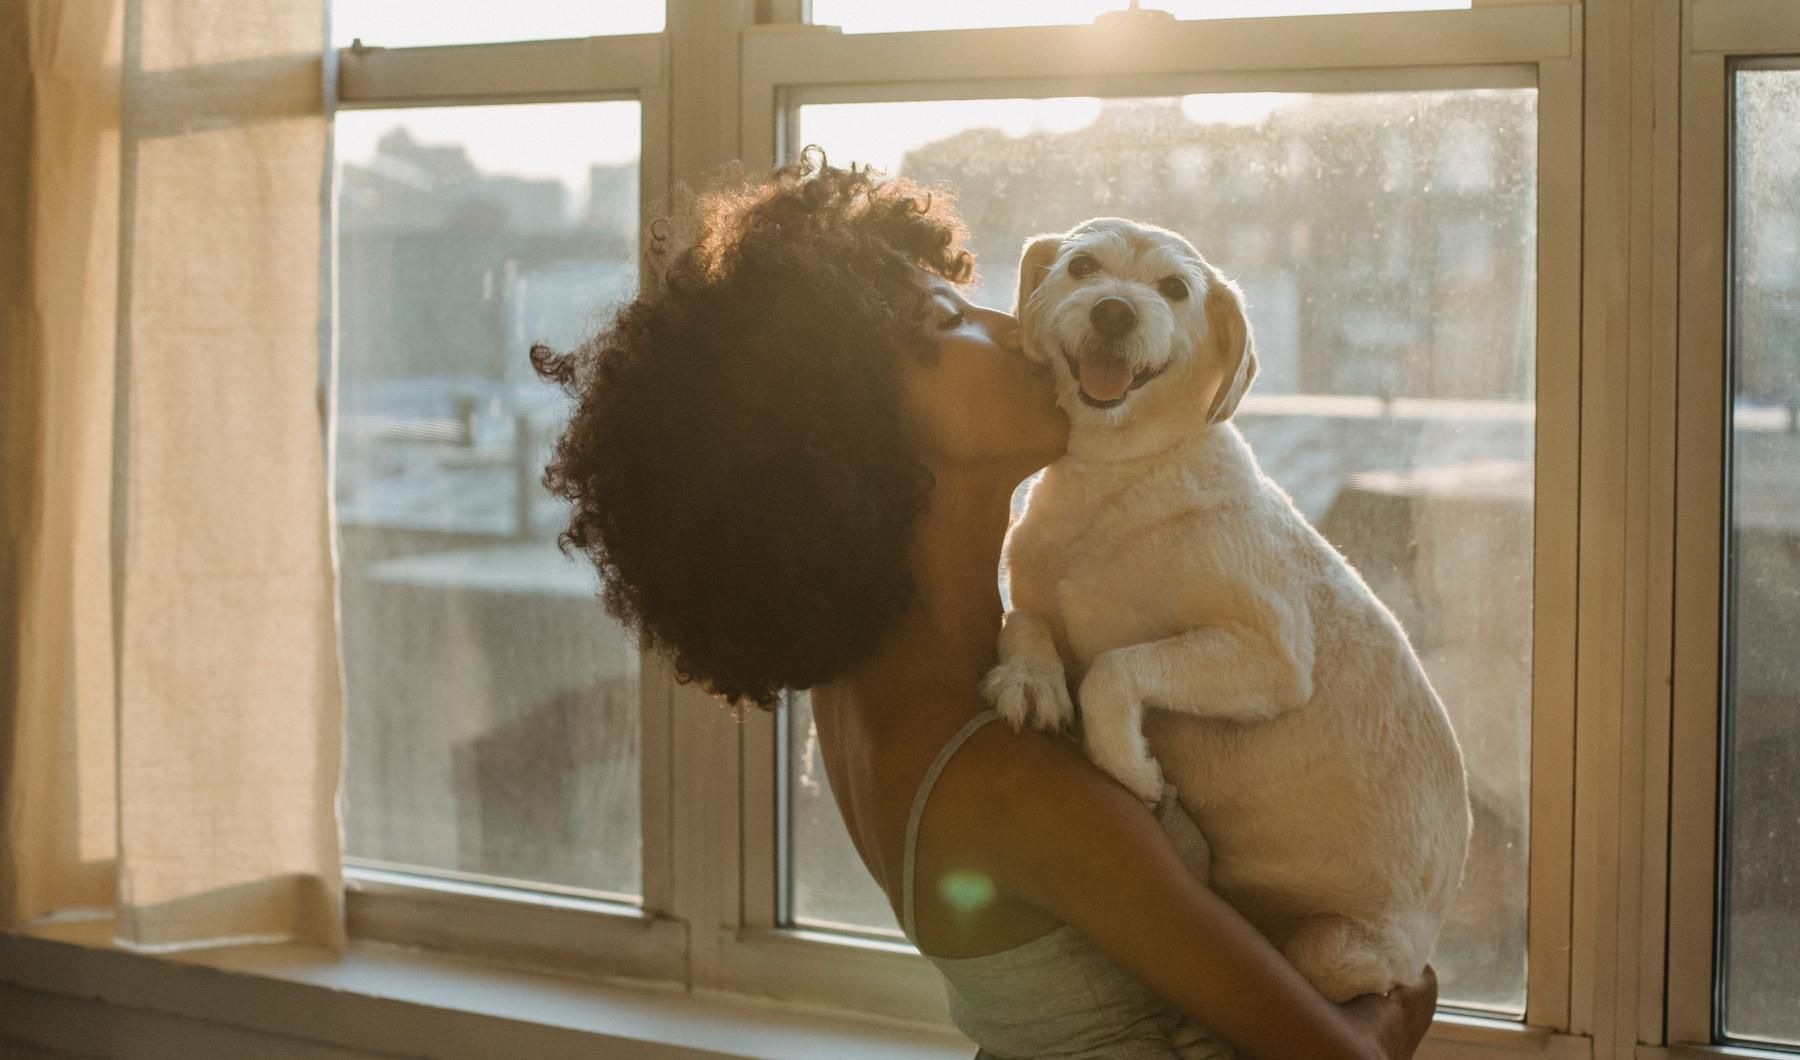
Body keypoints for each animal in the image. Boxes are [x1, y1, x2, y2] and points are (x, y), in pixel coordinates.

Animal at [986, 218, 1476, 1007]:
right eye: (1082, 267)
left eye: (1174, 288)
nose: (1115, 310)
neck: (1117, 477)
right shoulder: (1036, 594)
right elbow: (1025, 621)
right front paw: (1030, 680)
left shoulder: (1270, 657)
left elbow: (1116, 668)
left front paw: (1131, 769)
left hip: (1337, 951)